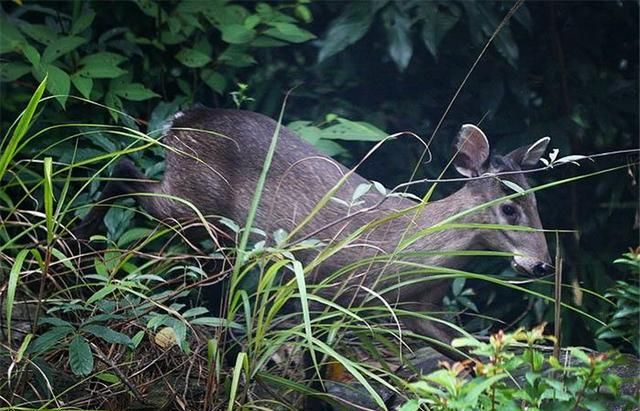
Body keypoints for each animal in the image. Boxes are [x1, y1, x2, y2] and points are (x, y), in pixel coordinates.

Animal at [72, 107, 552, 360]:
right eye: (509, 208)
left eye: (537, 203)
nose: (542, 264)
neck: (410, 250)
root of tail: (182, 118)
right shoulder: (334, 290)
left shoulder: (419, 309)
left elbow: (478, 355)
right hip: (191, 198)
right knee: (123, 169)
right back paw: (78, 246)